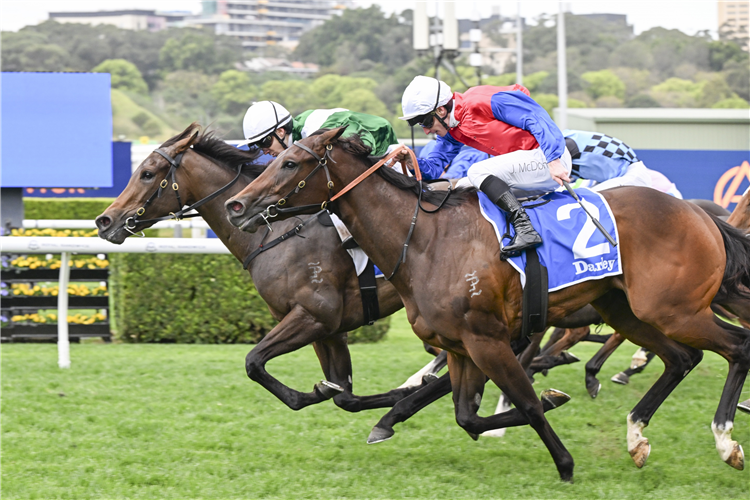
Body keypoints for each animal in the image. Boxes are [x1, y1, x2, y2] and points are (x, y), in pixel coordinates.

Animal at [226, 129, 750, 480]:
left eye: (290, 163)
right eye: (274, 157)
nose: (238, 205)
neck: (425, 240)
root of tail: (699, 214)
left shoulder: (487, 338)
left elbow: (524, 404)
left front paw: (564, 461)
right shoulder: (460, 346)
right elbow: (467, 416)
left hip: (673, 309)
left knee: (736, 347)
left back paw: (725, 439)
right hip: (628, 309)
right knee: (682, 357)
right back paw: (637, 435)